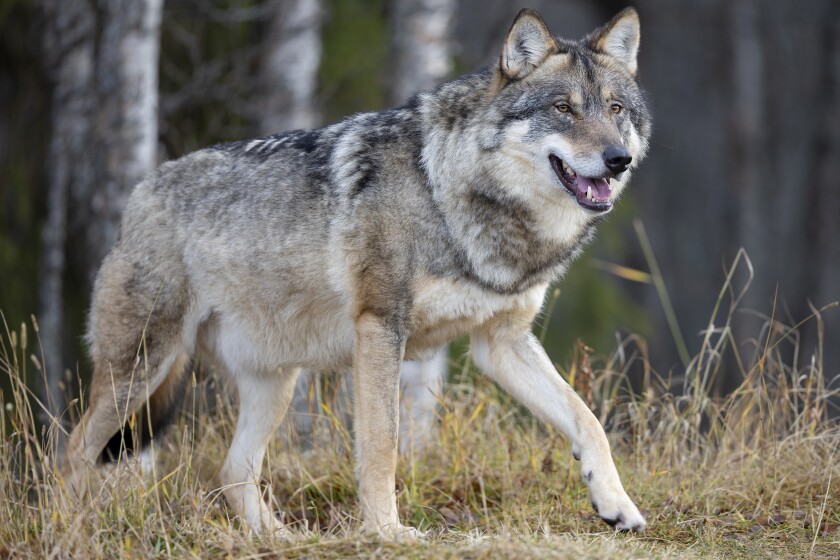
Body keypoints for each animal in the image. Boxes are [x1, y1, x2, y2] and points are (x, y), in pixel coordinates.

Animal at [62, 7, 652, 537]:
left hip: (273, 382)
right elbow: (383, 444)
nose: (617, 159)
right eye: (563, 108)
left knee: (232, 470)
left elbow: (587, 419)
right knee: (72, 451)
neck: (451, 191)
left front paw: (617, 505)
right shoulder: (380, 327)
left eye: (616, 109)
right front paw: (387, 532)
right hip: (142, 369)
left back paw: (281, 540)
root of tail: (142, 189)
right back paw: (70, 527)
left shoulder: (501, 342)